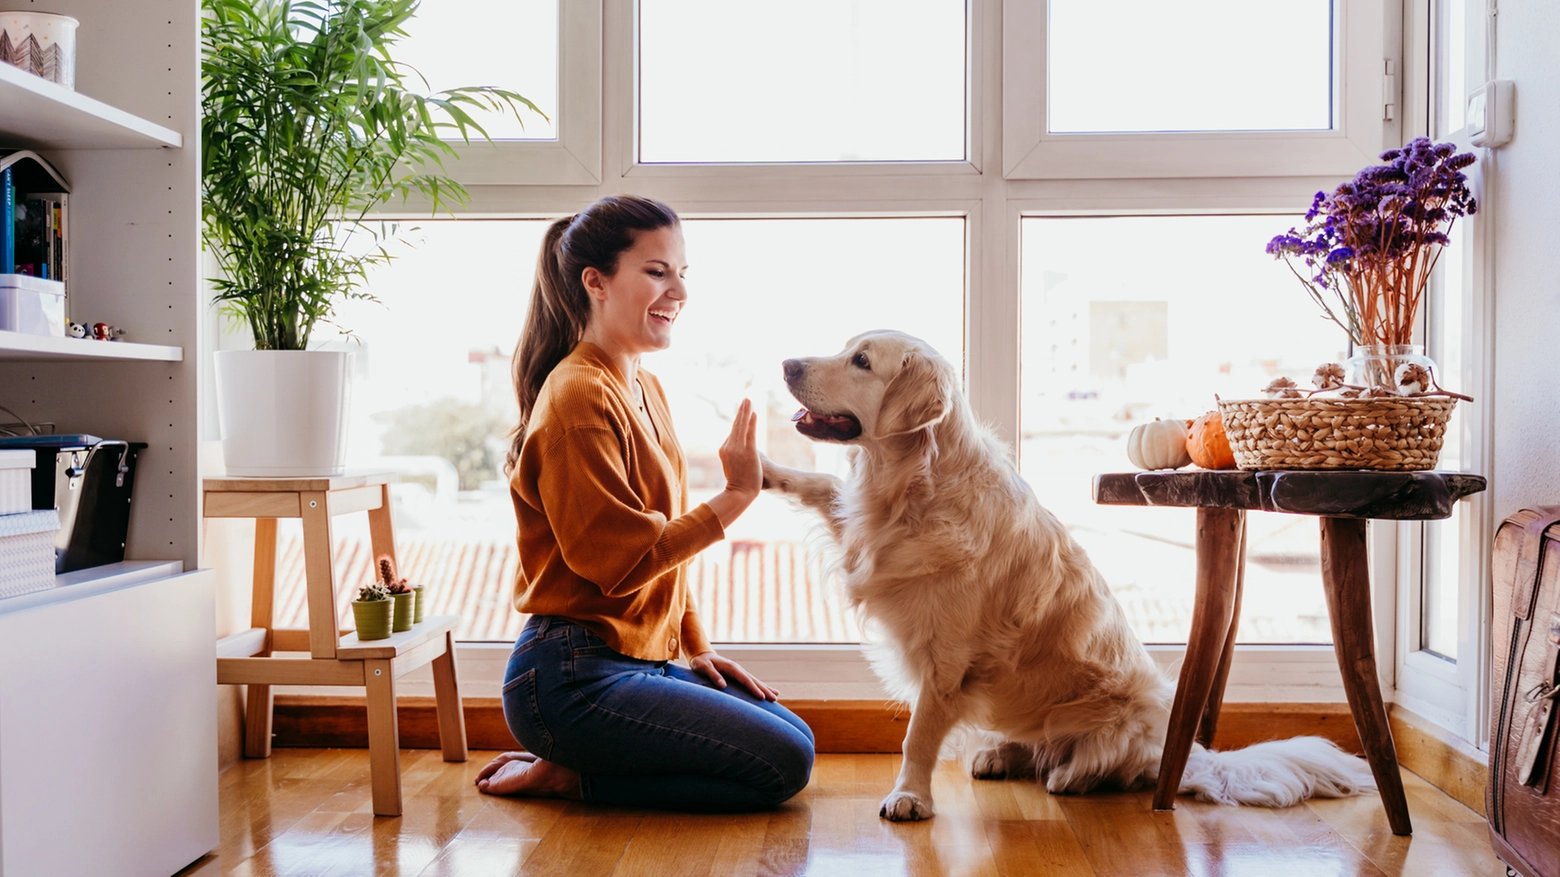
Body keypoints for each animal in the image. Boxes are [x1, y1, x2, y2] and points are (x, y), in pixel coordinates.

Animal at [761, 327, 1372, 817]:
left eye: (862, 361)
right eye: (846, 348)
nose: (786, 364)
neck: (912, 486)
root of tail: (1185, 754)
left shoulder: (947, 659)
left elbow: (918, 737)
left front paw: (910, 796)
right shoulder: (863, 533)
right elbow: (822, 485)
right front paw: (763, 468)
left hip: (1131, 711)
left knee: (1106, 765)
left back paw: (1070, 776)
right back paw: (1000, 754)